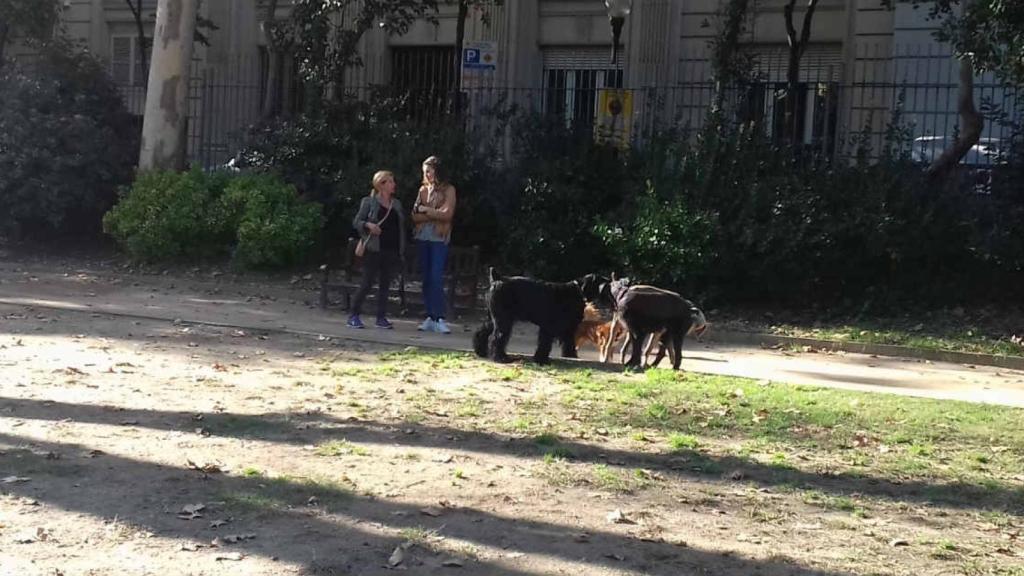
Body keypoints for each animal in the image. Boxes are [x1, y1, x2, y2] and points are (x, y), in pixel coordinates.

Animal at [473, 268, 606, 362]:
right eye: (603, 284)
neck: (578, 291)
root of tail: (498, 279)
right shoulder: (549, 327)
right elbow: (545, 343)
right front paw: (541, 359)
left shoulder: (567, 328)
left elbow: (568, 342)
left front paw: (570, 355)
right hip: (504, 320)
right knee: (498, 337)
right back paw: (501, 358)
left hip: (494, 319)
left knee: (482, 332)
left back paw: (481, 352)